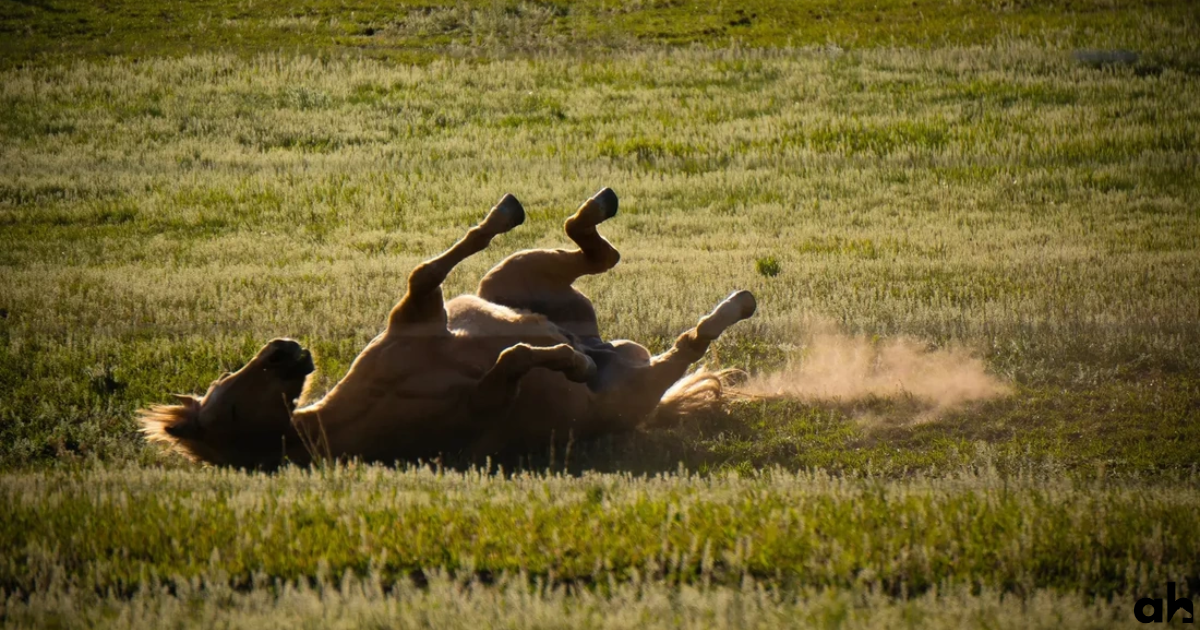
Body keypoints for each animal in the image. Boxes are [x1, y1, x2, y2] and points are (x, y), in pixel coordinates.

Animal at [138, 189, 757, 468]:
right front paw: (570, 363)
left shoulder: (417, 313)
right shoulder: (480, 405)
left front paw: (499, 216)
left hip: (511, 274)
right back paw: (732, 306)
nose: (284, 351)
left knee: (592, 250)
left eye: (222, 383)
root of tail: (612, 344)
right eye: (228, 406)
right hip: (633, 386)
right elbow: (512, 359)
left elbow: (427, 270)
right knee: (686, 344)